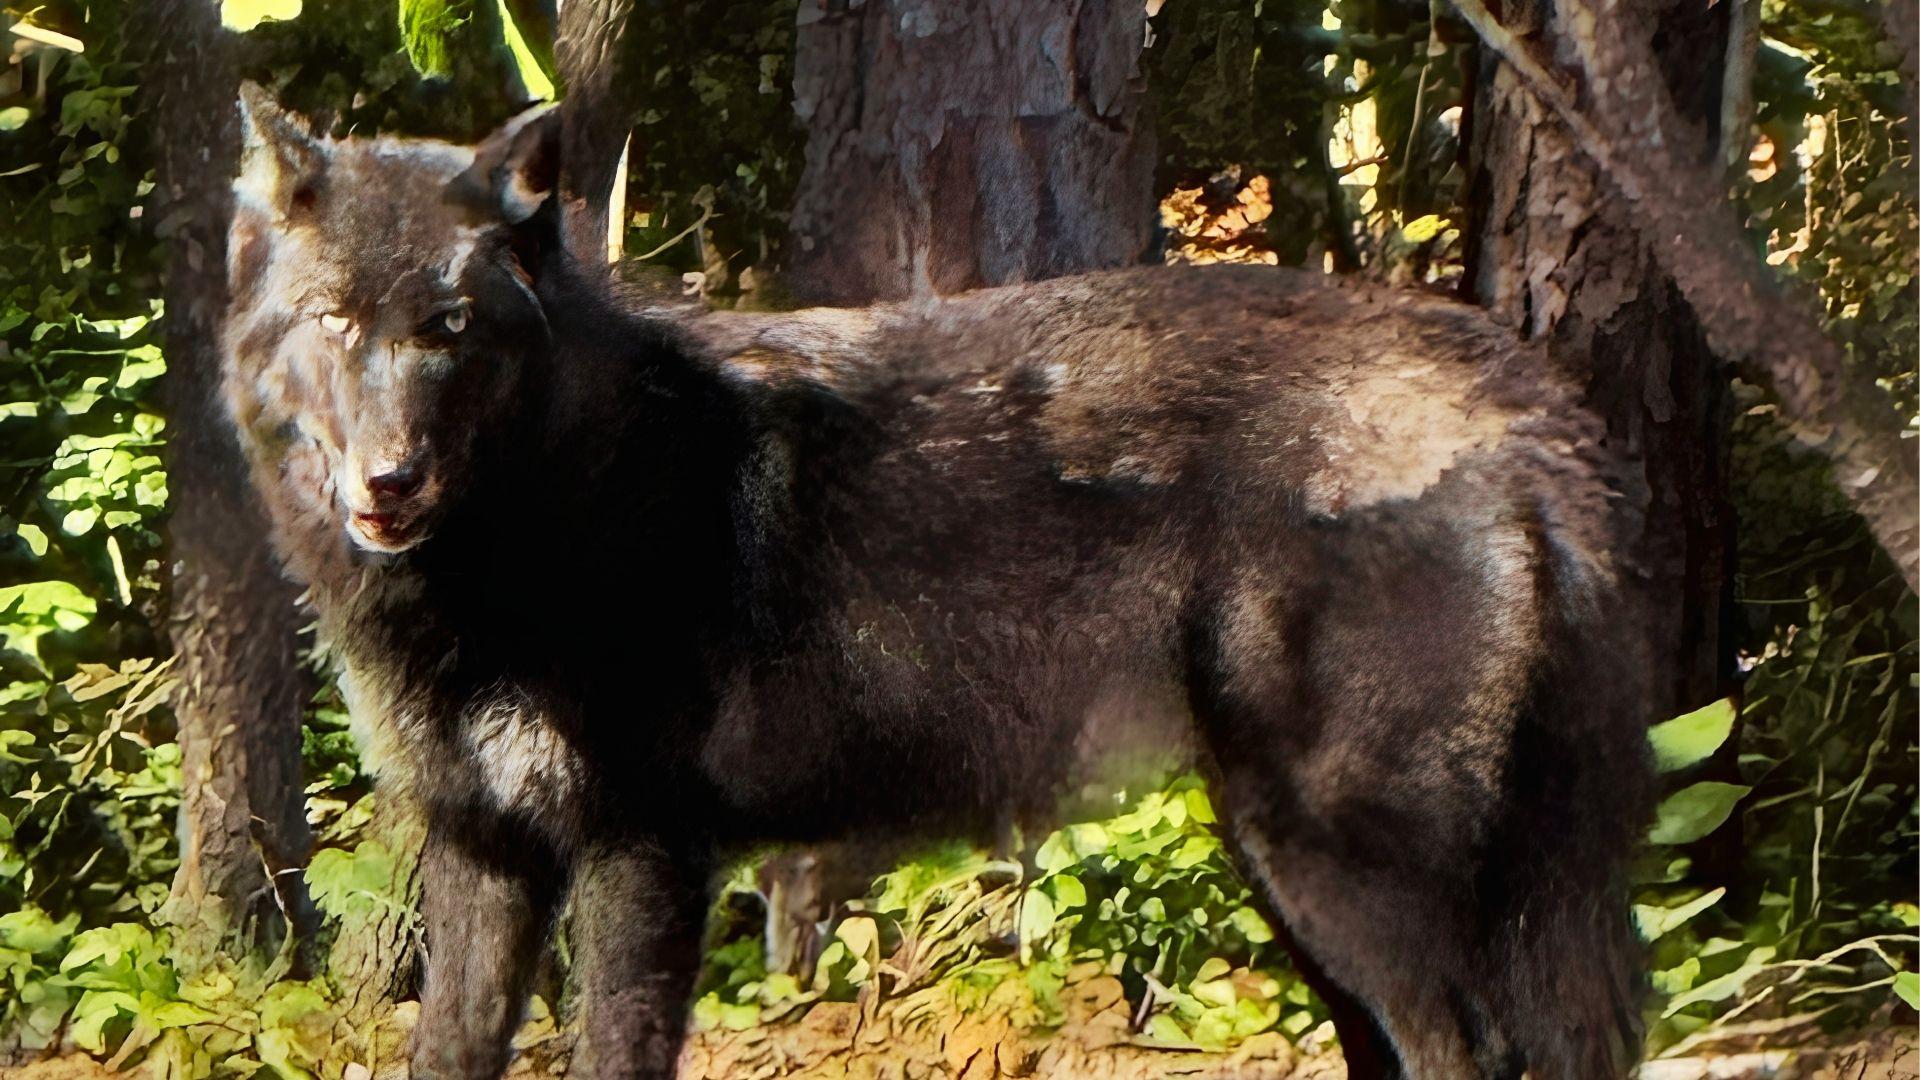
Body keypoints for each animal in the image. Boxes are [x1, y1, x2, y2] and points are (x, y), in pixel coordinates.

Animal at [219, 86, 1657, 1080]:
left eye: (450, 329)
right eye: (339, 321)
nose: (392, 483)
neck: (548, 516)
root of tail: (1514, 383)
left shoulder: (643, 852)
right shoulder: (486, 850)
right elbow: (448, 1050)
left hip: (1346, 871)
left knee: (1474, 1054)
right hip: (1296, 875)